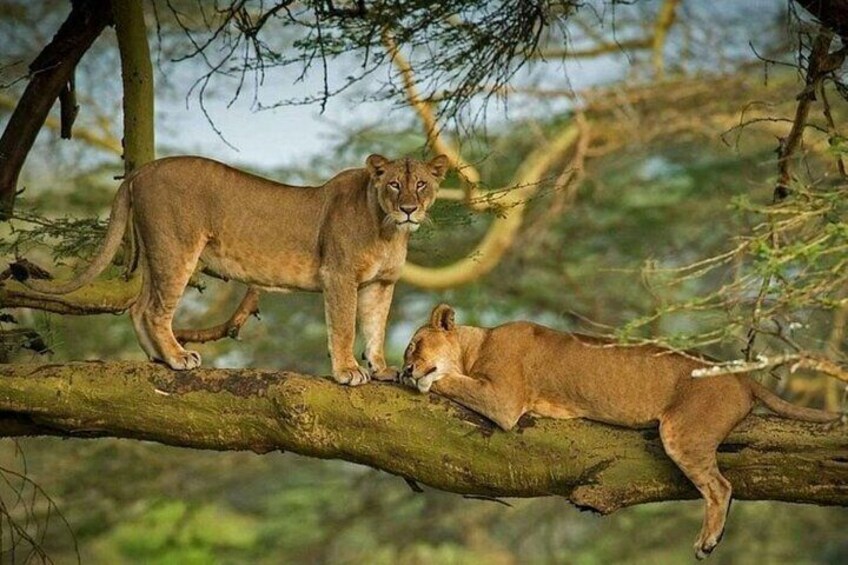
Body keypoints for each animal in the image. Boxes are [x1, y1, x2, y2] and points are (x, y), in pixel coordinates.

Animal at [19, 154, 449, 385]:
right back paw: (178, 358)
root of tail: (141, 171)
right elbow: (343, 327)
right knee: (156, 310)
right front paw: (348, 371)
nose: (408, 209)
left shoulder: (381, 283)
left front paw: (381, 369)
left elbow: (375, 327)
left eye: (421, 184)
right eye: (393, 184)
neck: (388, 229)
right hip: (176, 248)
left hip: (159, 253)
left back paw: (159, 359)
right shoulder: (339, 275)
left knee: (139, 307)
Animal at [401, 303, 840, 559]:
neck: (477, 344)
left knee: (720, 486)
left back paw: (708, 541)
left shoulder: (504, 401)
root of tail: (742, 375)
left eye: (415, 344)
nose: (406, 368)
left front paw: (415, 379)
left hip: (683, 430)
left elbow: (448, 381)